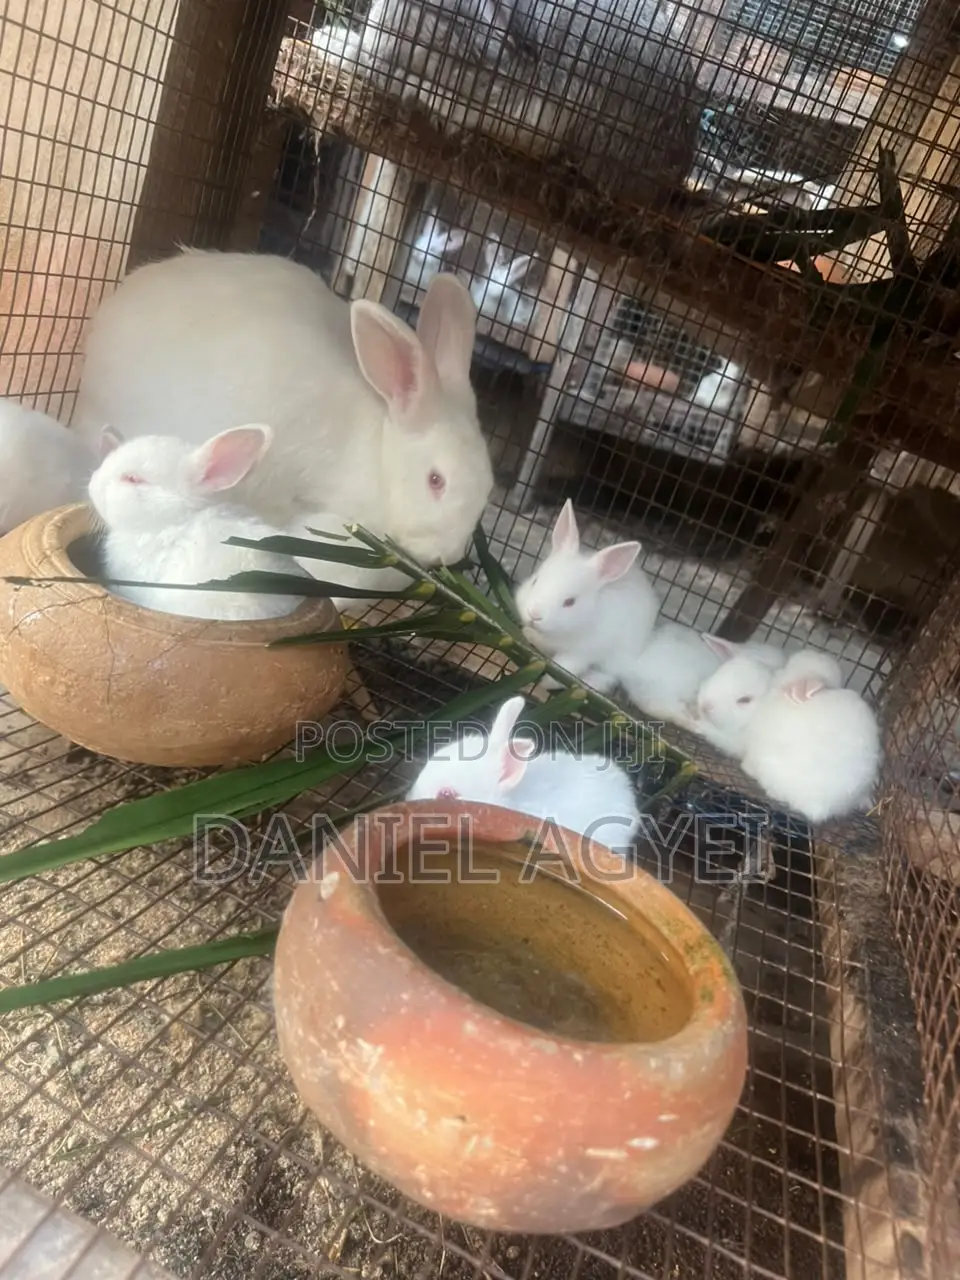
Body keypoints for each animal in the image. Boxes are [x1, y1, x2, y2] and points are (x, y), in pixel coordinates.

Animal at [513, 499, 660, 695]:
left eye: (570, 602)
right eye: (535, 581)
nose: (534, 614)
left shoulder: (582, 653)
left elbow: (565, 669)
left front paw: (547, 683)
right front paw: (528, 634)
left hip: (617, 658)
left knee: (609, 677)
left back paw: (590, 683)